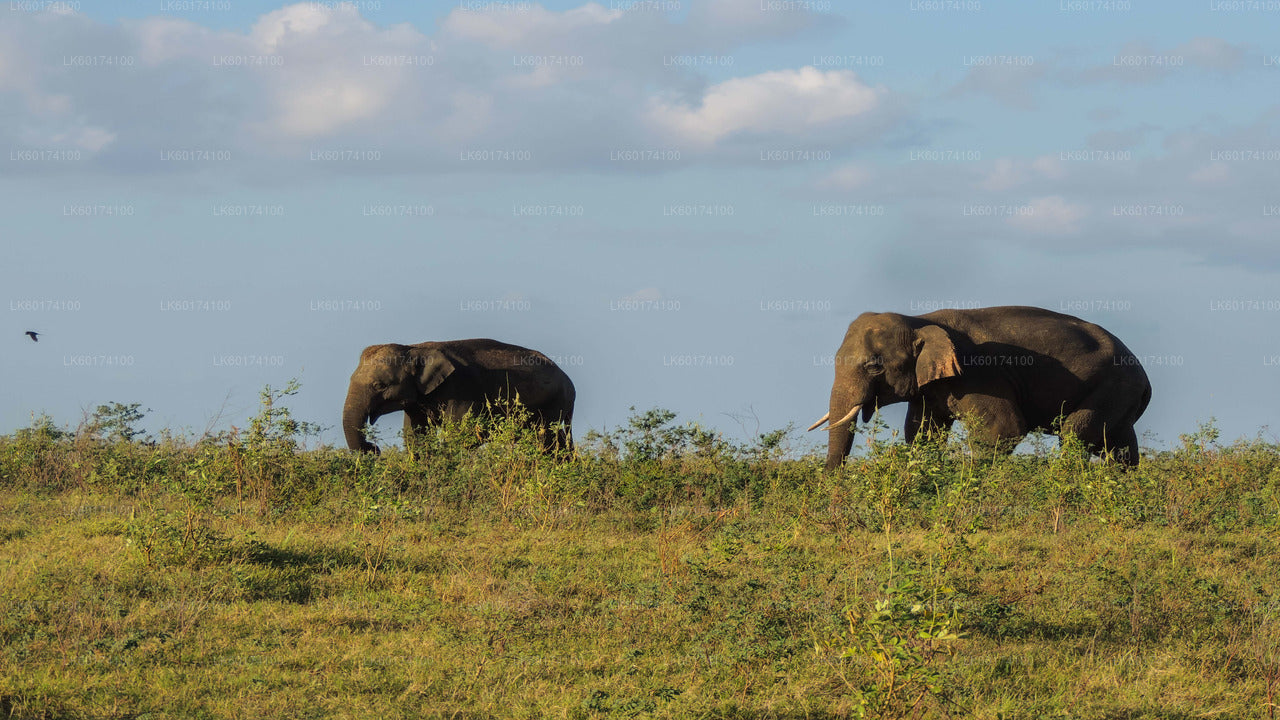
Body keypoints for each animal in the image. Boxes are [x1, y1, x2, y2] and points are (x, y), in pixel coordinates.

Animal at [345, 338, 576, 450]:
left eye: (379, 385)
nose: (373, 448)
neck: (416, 348)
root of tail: (571, 384)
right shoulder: (418, 401)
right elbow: (415, 437)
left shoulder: (462, 391)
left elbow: (459, 435)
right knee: (558, 439)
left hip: (553, 404)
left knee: (545, 439)